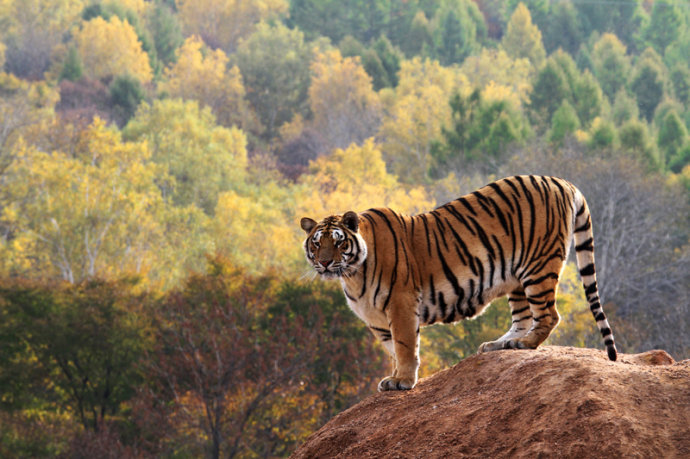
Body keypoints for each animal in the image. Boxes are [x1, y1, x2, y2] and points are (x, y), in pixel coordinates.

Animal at [298, 176, 616, 392]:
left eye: (338, 243)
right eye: (317, 243)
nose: (324, 263)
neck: (353, 274)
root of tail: (563, 182)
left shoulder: (401, 303)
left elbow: (405, 345)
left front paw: (403, 380)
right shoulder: (376, 319)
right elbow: (393, 350)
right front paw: (394, 377)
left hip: (538, 266)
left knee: (549, 315)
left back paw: (525, 344)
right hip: (516, 277)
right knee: (523, 318)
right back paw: (501, 345)